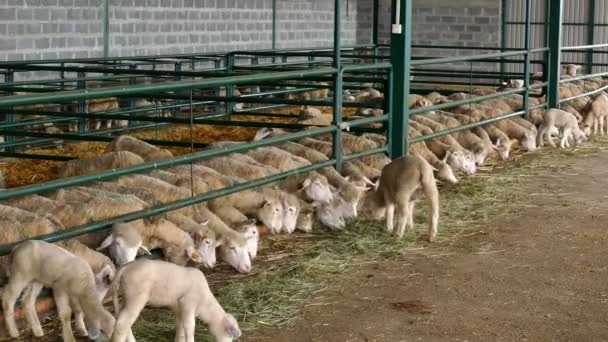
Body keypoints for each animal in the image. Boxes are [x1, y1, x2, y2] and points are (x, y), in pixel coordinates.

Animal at [111, 260, 240, 342]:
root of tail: (125, 267)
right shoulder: (188, 304)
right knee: (122, 323)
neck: (205, 303)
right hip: (136, 297)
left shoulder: (179, 309)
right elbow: (190, 326)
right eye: (230, 335)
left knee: (123, 321)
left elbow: (180, 326)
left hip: (126, 298)